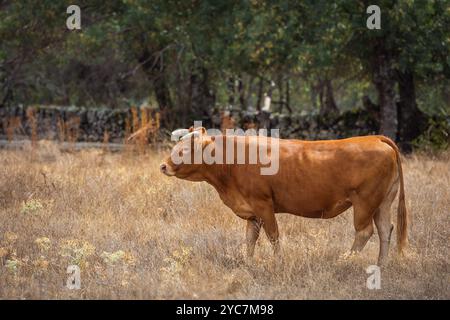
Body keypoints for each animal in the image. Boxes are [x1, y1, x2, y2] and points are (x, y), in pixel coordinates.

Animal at [159, 127, 408, 264]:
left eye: (185, 150)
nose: (163, 166)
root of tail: (375, 138)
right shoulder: (252, 212)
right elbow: (250, 239)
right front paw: (249, 263)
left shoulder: (263, 204)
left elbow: (273, 236)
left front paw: (278, 262)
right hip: (382, 202)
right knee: (385, 230)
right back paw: (381, 265)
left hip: (365, 202)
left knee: (365, 231)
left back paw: (344, 262)